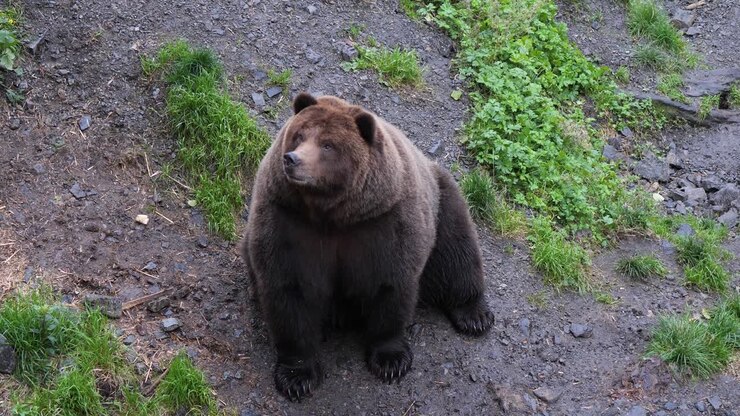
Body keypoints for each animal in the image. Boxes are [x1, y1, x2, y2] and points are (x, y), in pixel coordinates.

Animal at [241, 92, 495, 401]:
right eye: (298, 136)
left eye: (327, 145)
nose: (292, 159)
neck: (332, 214)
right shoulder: (287, 221)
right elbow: (290, 291)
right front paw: (296, 376)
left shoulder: (386, 223)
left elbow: (390, 287)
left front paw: (390, 360)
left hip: (442, 201)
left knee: (457, 251)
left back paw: (474, 315)